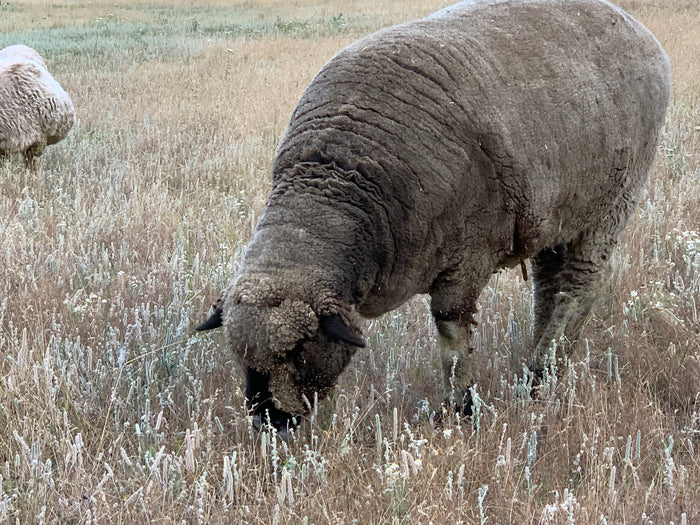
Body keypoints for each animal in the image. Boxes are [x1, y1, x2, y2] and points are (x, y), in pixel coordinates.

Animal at [197, 0, 671, 431]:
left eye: (297, 349)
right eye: (238, 353)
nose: (270, 423)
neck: (337, 183)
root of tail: (636, 27)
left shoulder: (468, 255)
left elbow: (452, 337)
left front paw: (459, 409)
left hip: (611, 203)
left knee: (578, 289)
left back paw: (543, 374)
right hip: (555, 218)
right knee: (548, 286)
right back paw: (532, 369)